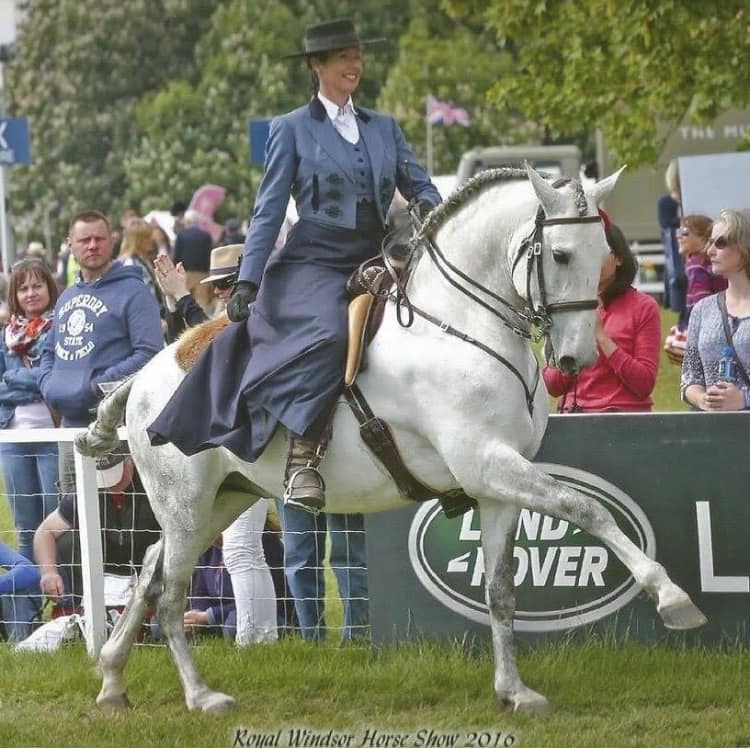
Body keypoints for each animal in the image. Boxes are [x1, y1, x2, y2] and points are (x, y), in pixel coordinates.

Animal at [79, 165, 708, 712]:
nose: (577, 359)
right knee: (169, 595)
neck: (462, 329)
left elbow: (501, 590)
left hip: (223, 500)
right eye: (560, 254)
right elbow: (586, 508)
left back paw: (111, 680)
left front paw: (514, 691)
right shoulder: (488, 464)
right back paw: (200, 696)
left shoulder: (498, 484)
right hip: (187, 506)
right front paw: (671, 597)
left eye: (604, 255)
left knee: (151, 571)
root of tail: (149, 372)